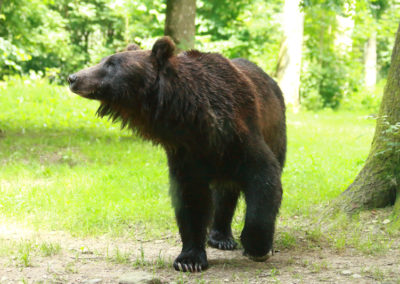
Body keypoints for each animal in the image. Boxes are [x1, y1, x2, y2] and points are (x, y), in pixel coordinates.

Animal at [69, 36, 288, 272]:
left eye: (111, 64)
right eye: (103, 61)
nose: (73, 78)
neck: (193, 119)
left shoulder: (239, 135)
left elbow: (264, 176)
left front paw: (258, 247)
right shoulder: (186, 153)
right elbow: (190, 197)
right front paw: (189, 259)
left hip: (275, 133)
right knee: (224, 191)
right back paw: (220, 236)